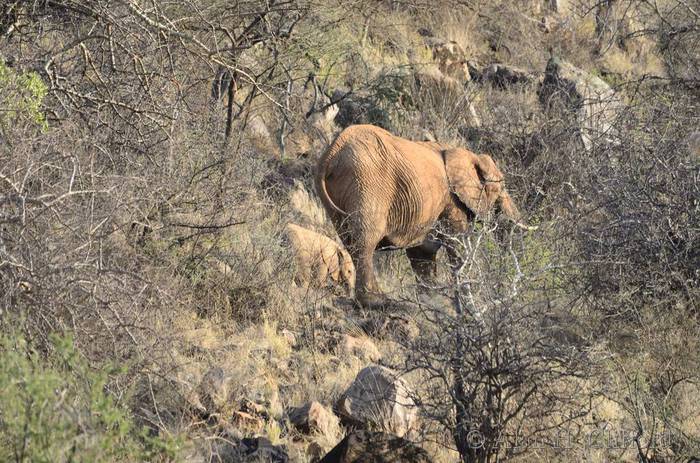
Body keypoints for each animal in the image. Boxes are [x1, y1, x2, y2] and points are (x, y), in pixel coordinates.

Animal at [315, 124, 533, 307]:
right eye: (501, 188)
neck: (466, 154)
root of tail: (332, 154)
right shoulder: (451, 201)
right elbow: (458, 245)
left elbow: (422, 253)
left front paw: (432, 302)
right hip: (367, 184)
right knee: (365, 242)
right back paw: (377, 301)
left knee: (351, 243)